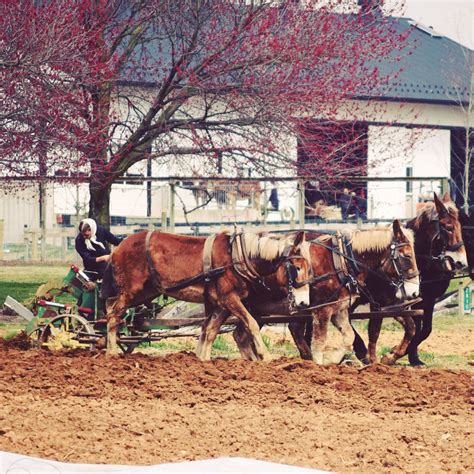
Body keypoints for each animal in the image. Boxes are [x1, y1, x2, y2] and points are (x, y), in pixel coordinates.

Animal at [100, 231, 312, 360]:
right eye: (297, 267)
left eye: (309, 268)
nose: (303, 302)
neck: (236, 257)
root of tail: (117, 248)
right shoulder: (229, 298)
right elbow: (251, 323)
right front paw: (266, 357)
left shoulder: (221, 303)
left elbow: (210, 330)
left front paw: (202, 360)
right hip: (131, 290)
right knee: (114, 314)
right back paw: (111, 352)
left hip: (145, 293)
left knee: (110, 307)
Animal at [232, 220, 418, 364]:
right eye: (407, 256)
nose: (415, 292)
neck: (341, 261)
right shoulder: (323, 309)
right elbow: (320, 341)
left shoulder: (343, 307)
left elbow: (350, 335)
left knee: (241, 334)